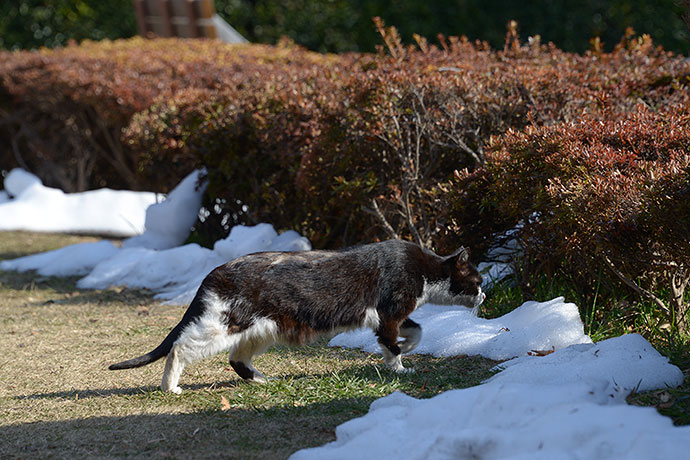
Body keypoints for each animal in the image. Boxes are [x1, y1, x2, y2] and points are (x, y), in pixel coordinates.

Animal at [109, 239, 484, 394]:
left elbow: (417, 331)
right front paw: (400, 368)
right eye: (478, 280)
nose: (484, 294)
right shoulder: (389, 312)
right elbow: (391, 344)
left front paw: (408, 348)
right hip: (224, 323)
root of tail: (213, 274)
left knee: (236, 359)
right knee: (180, 348)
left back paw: (262, 380)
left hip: (262, 330)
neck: (425, 271)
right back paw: (170, 387)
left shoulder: (392, 315)